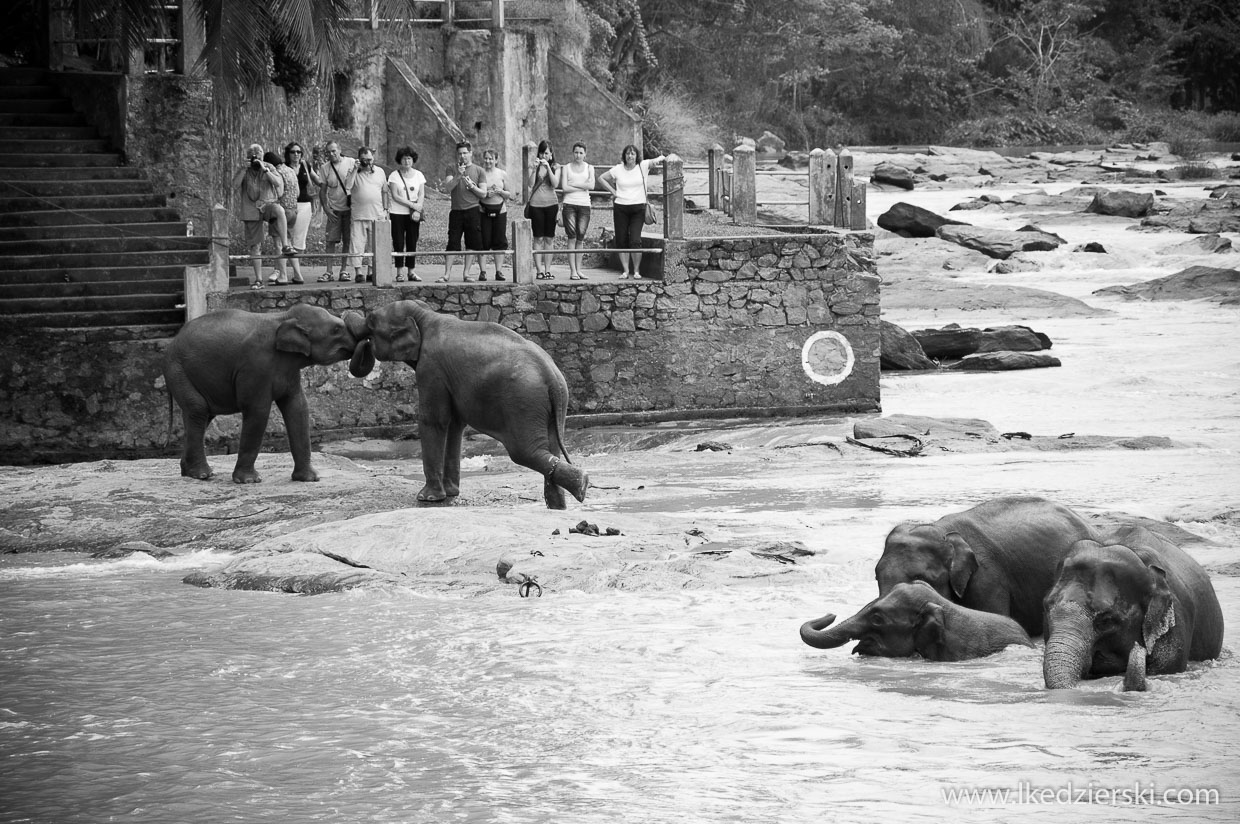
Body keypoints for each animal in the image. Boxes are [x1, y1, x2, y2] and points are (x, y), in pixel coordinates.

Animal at [161, 303, 362, 483]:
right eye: (336, 329)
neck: (283, 317)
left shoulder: (289, 370)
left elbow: (298, 408)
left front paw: (310, 479)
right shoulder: (255, 365)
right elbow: (258, 410)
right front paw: (249, 481)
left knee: (203, 415)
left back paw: (189, 472)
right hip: (178, 371)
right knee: (198, 410)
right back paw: (202, 475)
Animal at [344, 298, 585, 508]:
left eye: (371, 321)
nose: (363, 342)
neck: (426, 316)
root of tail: (551, 375)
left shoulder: (431, 368)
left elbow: (434, 420)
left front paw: (428, 498)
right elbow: (454, 424)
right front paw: (451, 493)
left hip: (523, 402)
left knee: (524, 451)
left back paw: (582, 483)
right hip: (551, 406)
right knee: (550, 448)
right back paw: (560, 505)